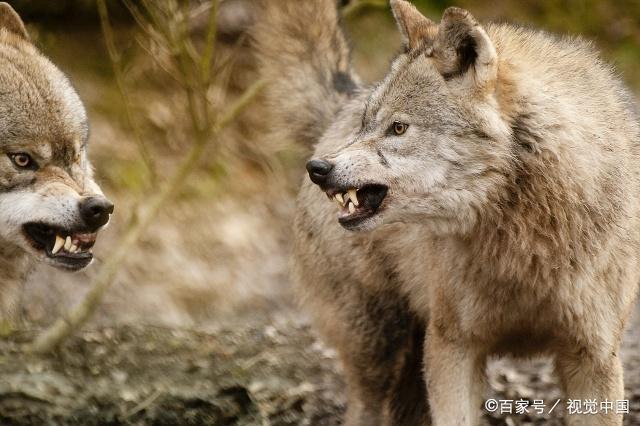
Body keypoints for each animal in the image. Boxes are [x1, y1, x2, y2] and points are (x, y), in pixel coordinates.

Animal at [255, 0, 640, 426]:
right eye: (368, 125)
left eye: (398, 128)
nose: (319, 168)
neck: (523, 238)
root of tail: (342, 104)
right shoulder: (452, 348)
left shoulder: (593, 357)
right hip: (378, 347)